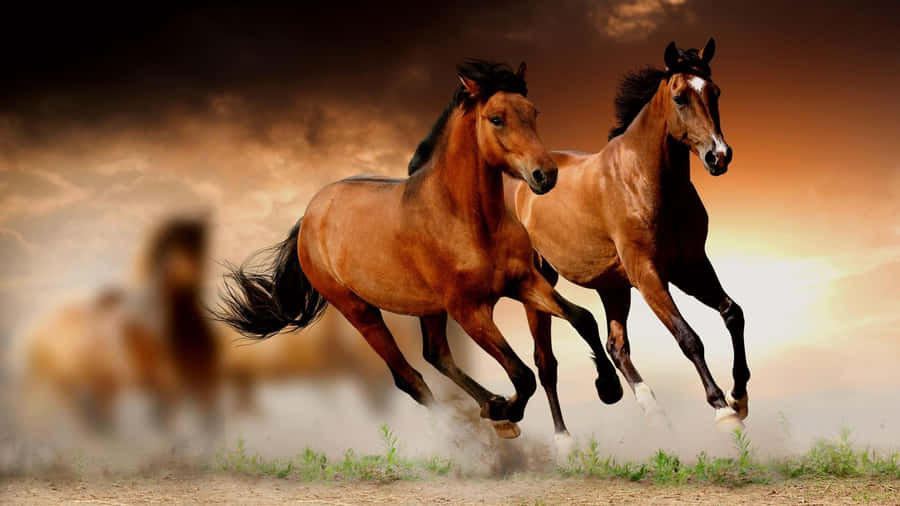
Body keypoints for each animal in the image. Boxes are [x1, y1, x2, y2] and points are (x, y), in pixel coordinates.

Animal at [17, 217, 221, 433]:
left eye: (199, 241)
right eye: (172, 243)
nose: (188, 273)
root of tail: (39, 330)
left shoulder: (200, 384)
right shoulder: (168, 387)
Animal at [216, 60, 623, 439]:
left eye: (533, 112)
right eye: (496, 119)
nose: (545, 175)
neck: (468, 220)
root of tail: (309, 216)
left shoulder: (524, 282)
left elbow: (583, 318)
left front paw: (609, 388)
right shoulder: (469, 310)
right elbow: (522, 375)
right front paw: (507, 411)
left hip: (429, 308)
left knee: (435, 354)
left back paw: (489, 407)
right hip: (360, 311)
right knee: (408, 377)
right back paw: (473, 428)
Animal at [505, 39, 749, 439]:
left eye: (715, 91)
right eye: (680, 97)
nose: (719, 156)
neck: (645, 180)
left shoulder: (690, 266)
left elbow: (733, 313)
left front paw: (739, 396)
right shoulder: (648, 273)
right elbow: (688, 337)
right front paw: (722, 409)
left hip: (613, 286)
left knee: (615, 345)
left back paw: (648, 408)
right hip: (540, 283)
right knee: (546, 363)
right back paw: (564, 439)